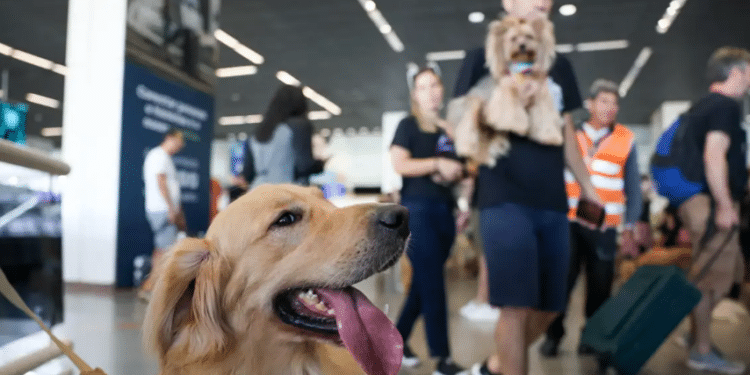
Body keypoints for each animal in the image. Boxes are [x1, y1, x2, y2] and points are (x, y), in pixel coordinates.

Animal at [452, 16, 564, 166]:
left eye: (529, 36)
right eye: (513, 38)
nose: (522, 45)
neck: (522, 68)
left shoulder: (540, 96)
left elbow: (545, 118)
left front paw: (550, 137)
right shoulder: (507, 92)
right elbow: (512, 113)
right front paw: (518, 127)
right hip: (474, 106)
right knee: (467, 128)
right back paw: (466, 148)